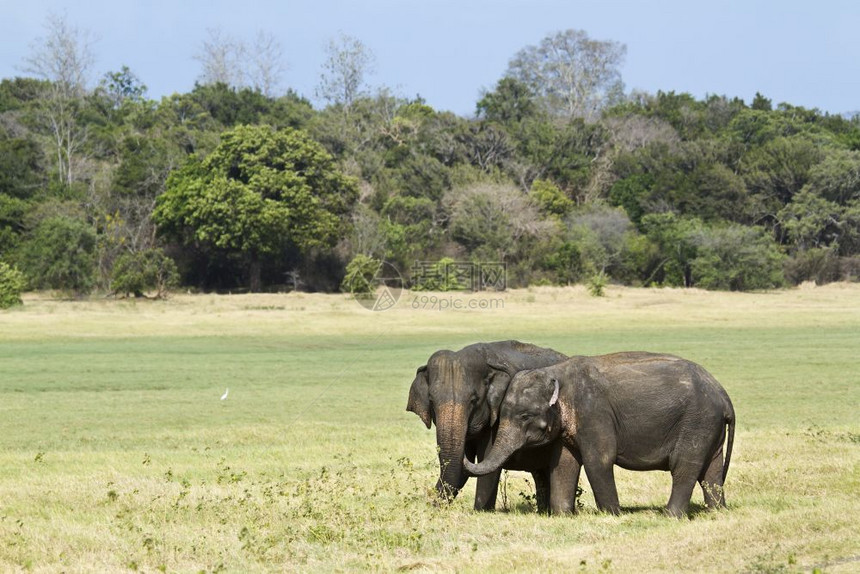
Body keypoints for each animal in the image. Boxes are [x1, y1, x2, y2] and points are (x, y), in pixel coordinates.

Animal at [404, 340, 568, 510]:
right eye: (431, 400)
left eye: (473, 400)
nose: (432, 505)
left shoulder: (498, 417)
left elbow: (486, 458)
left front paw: (481, 511)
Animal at [460, 354, 736, 520]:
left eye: (525, 416)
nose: (468, 449)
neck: (557, 373)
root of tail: (723, 395)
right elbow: (563, 465)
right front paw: (563, 515)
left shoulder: (594, 413)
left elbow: (598, 460)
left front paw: (613, 515)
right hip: (709, 426)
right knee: (711, 470)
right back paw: (717, 512)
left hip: (697, 421)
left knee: (684, 467)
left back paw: (669, 515)